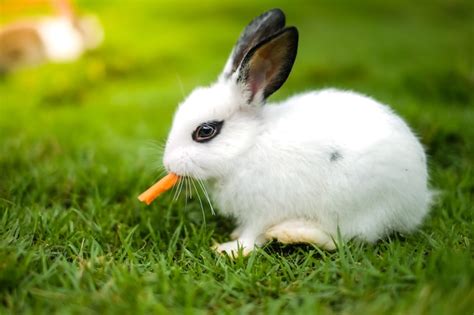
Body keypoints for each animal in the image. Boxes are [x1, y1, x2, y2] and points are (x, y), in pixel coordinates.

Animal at [161, 8, 432, 256]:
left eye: (205, 131)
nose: (168, 164)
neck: (247, 147)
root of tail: (418, 200)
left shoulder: (262, 210)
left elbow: (252, 235)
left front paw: (229, 249)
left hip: (354, 206)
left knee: (342, 239)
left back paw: (292, 233)